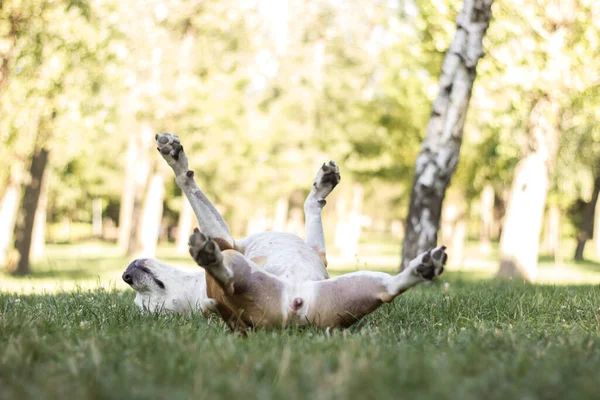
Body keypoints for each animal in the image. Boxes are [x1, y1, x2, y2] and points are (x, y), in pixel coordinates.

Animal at [122, 134, 446, 332]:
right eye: (146, 307)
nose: (126, 275)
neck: (196, 289)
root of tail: (294, 316)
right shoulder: (227, 240)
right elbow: (188, 183)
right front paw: (176, 162)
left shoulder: (316, 251)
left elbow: (312, 208)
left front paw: (322, 185)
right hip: (239, 268)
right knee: (229, 279)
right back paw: (210, 259)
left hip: (355, 286)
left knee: (390, 287)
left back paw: (423, 267)